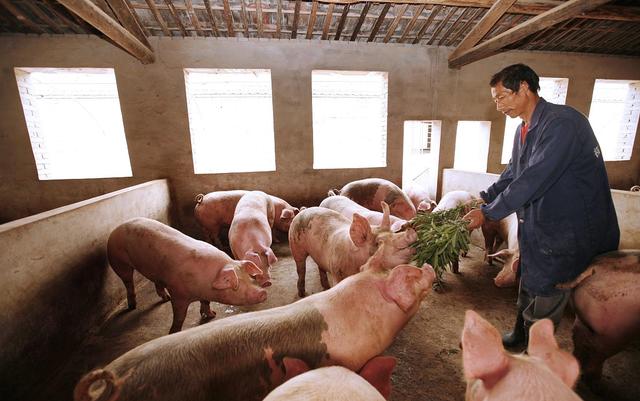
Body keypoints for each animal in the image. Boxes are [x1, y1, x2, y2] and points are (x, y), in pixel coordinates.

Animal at [107, 217, 268, 332]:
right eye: (234, 283)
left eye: (249, 277)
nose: (262, 292)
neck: (206, 283)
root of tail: (116, 228)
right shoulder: (178, 293)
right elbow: (179, 316)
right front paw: (174, 332)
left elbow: (206, 302)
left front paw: (212, 314)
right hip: (117, 261)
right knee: (128, 282)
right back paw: (132, 306)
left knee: (157, 282)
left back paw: (165, 298)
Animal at [288, 202, 418, 296]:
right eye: (378, 243)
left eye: (393, 233)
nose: (411, 231)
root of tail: (304, 210)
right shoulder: (336, 271)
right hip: (295, 243)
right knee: (301, 269)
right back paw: (302, 294)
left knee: (320, 267)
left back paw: (326, 287)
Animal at [556, 250, 640, 384]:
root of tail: (595, 267)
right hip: (617, 330)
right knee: (598, 350)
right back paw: (594, 381)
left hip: (584, 317)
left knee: (578, 337)